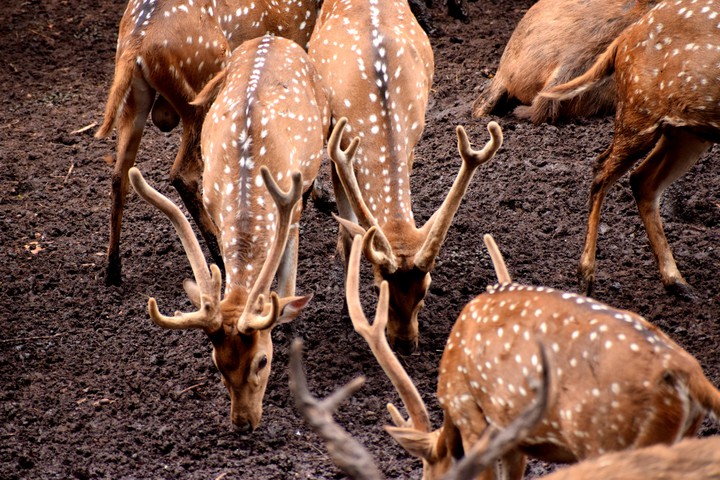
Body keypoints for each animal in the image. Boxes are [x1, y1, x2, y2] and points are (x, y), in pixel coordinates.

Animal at [96, 0, 319, 285]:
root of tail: (136, 42)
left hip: (134, 101)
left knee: (118, 175)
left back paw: (113, 270)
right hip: (203, 92)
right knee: (183, 174)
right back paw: (220, 256)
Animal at [125, 33, 331, 433]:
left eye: (263, 360)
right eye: (217, 363)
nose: (243, 423)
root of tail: (271, 37)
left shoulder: (291, 205)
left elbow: (285, 284)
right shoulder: (215, 205)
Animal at [343, 230, 720, 479]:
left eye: (429, 466)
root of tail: (688, 376)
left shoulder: (472, 415)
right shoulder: (512, 436)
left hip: (608, 437)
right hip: (679, 435)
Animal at [540, 0, 720, 298]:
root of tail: (622, 41)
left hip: (688, 130)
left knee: (641, 179)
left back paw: (676, 281)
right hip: (639, 110)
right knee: (603, 169)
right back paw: (585, 277)